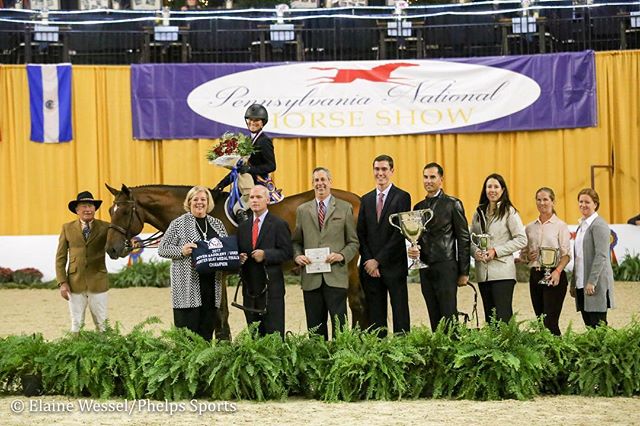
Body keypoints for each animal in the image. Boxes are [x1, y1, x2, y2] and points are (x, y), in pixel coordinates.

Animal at [104, 183, 364, 340]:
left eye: (124, 212)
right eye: (109, 211)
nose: (112, 249)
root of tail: (357, 199)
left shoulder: (220, 272)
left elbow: (221, 312)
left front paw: (223, 343)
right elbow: (222, 312)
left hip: (348, 265)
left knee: (355, 302)